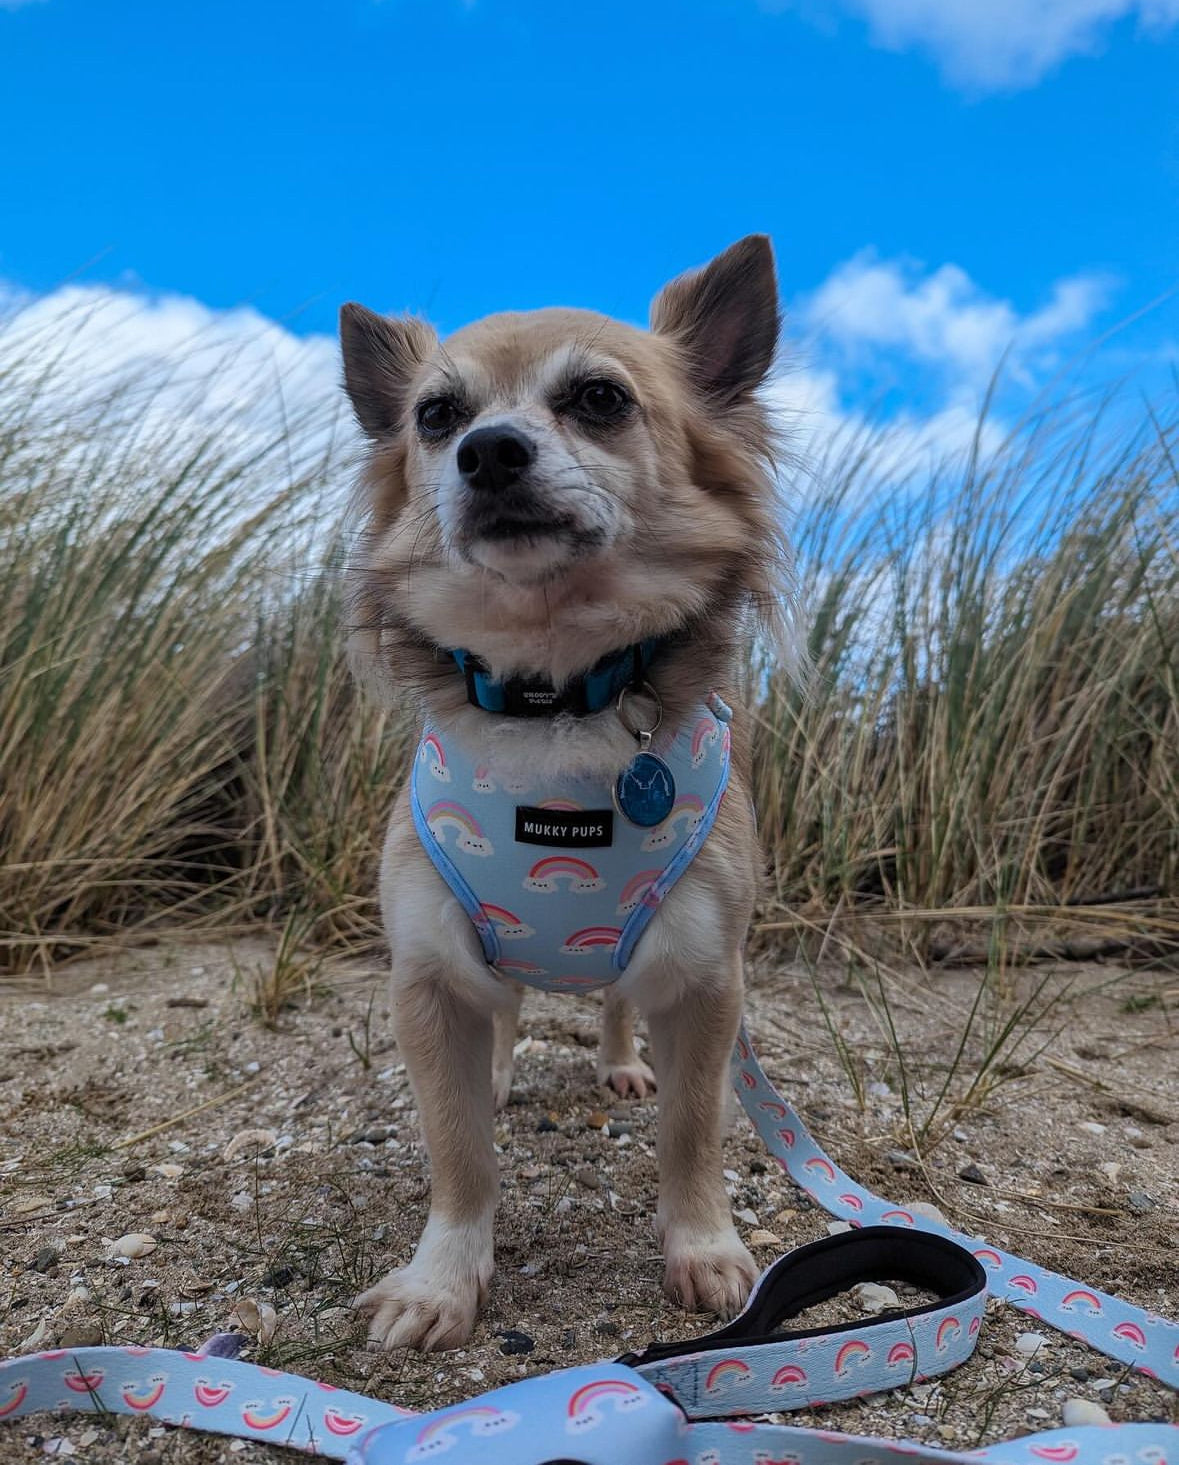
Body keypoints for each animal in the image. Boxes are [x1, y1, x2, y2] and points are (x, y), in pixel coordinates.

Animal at [340, 235, 798, 1345]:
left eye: (599, 398)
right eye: (435, 416)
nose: (488, 452)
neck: (551, 693)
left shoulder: (709, 979)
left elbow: (692, 1130)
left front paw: (702, 1245)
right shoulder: (428, 981)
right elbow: (458, 1148)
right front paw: (441, 1277)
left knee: (616, 1005)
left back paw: (621, 1059)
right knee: (507, 1014)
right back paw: (504, 1069)